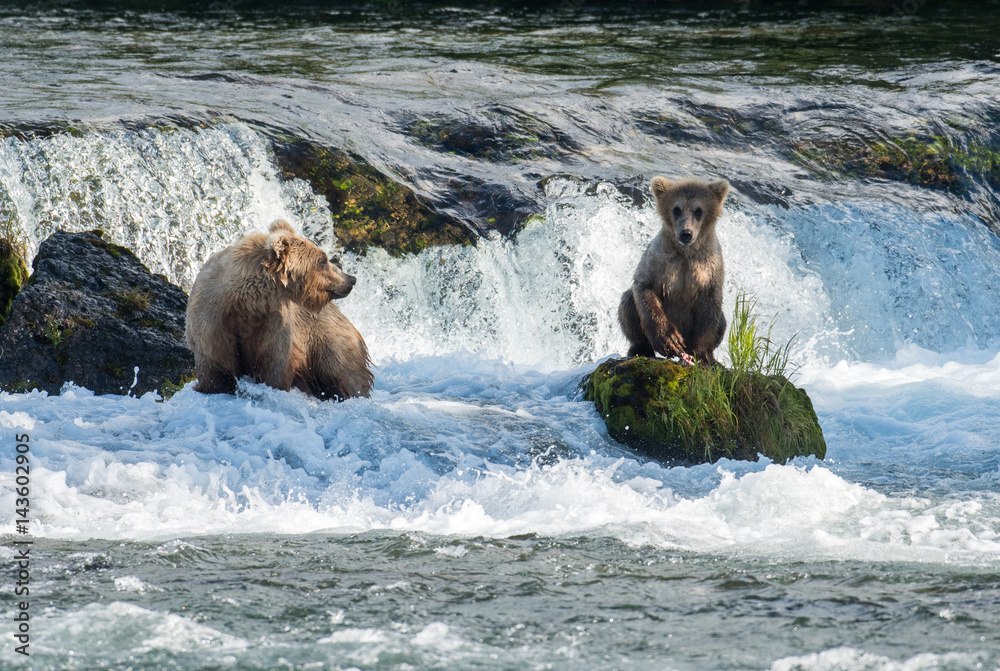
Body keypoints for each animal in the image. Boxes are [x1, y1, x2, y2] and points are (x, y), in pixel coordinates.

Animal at [185, 219, 373, 400]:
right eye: (323, 260)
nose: (351, 279)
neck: (245, 302)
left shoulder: (273, 323)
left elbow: (275, 364)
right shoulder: (212, 321)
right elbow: (215, 368)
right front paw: (212, 387)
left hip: (330, 339)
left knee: (345, 373)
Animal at [618, 176, 730, 365]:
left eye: (698, 210)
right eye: (677, 209)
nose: (686, 233)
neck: (685, 253)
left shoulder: (710, 268)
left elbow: (710, 310)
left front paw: (702, 355)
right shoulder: (658, 260)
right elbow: (644, 287)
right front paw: (670, 340)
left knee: (721, 321)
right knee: (628, 305)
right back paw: (640, 349)